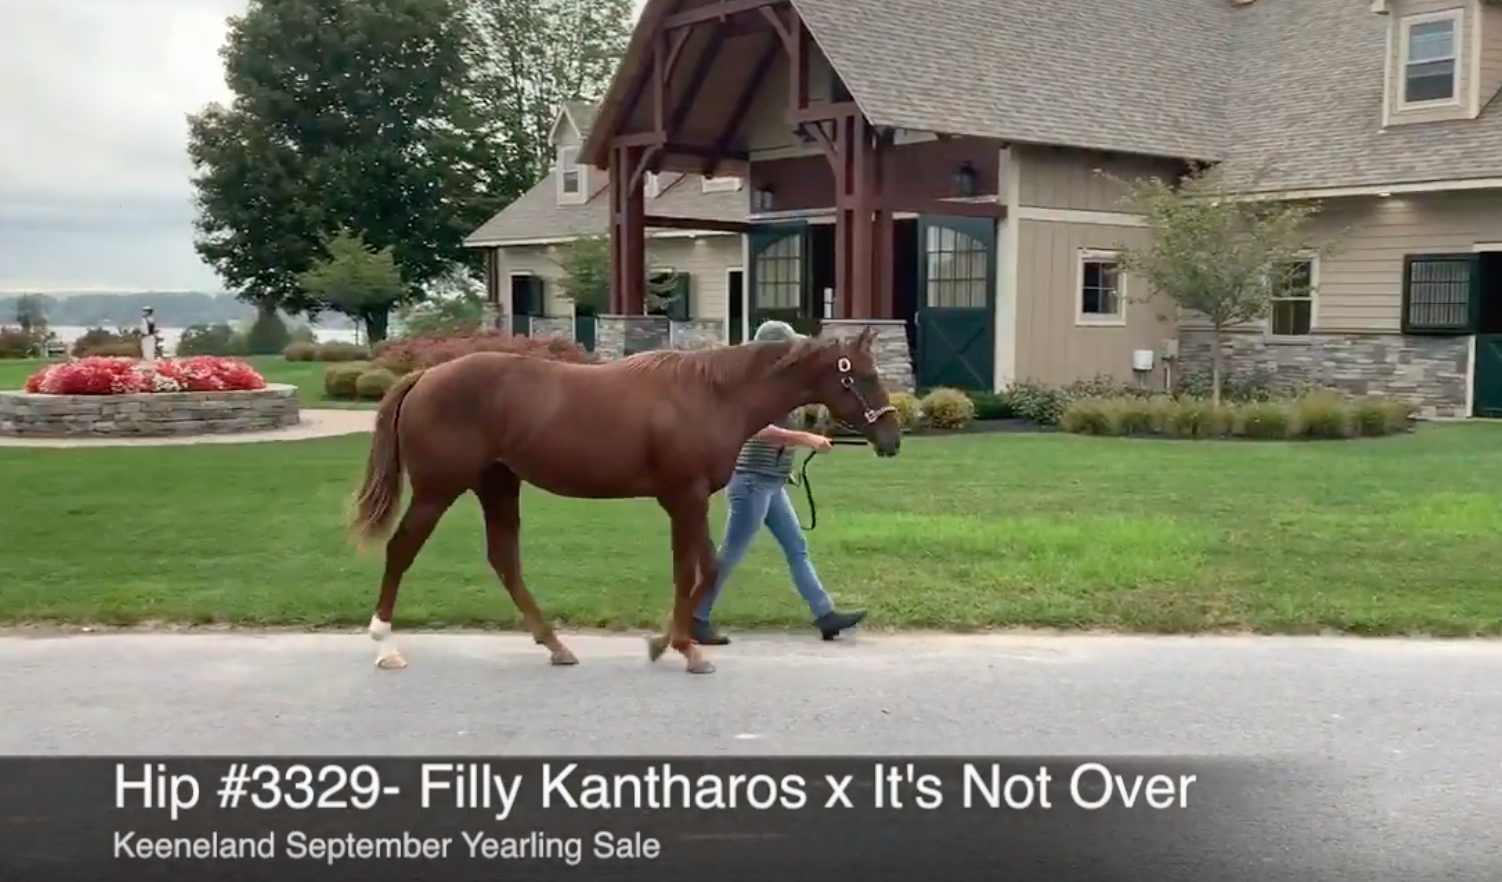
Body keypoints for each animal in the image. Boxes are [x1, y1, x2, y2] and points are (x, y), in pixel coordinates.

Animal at [345, 329, 895, 676]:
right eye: (864, 376)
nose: (891, 438)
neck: (711, 393)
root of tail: (424, 377)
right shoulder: (685, 497)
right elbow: (701, 570)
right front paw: (678, 648)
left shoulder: (685, 500)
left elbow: (697, 569)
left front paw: (674, 644)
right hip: (439, 490)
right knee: (401, 551)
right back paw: (385, 646)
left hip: (497, 484)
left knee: (504, 560)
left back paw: (556, 646)